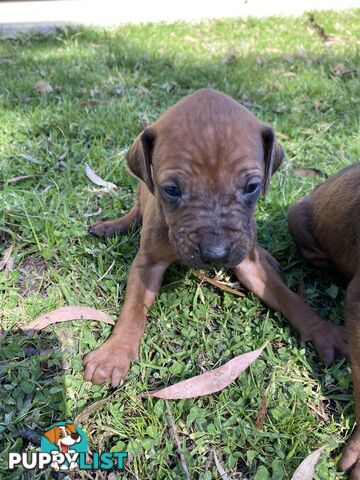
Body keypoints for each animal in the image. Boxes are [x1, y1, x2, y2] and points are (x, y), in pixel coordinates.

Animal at [83, 91, 348, 390]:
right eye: (171, 190)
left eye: (252, 187)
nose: (216, 255)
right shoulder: (146, 263)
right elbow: (133, 308)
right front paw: (114, 353)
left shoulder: (249, 263)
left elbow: (288, 297)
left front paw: (322, 330)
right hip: (141, 190)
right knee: (136, 209)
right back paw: (112, 226)